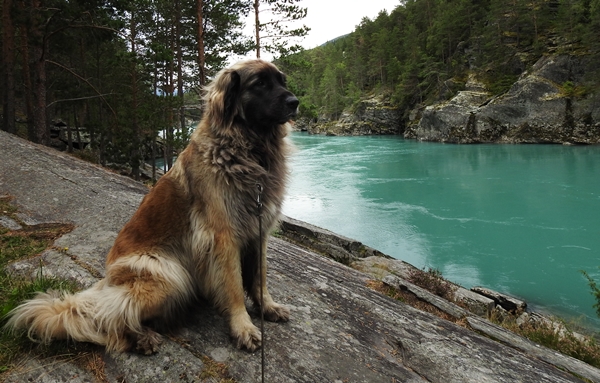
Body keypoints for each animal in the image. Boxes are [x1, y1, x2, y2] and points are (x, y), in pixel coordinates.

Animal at [5, 59, 300, 354]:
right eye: (260, 83)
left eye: (282, 81)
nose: (295, 102)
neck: (248, 150)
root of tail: (107, 280)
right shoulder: (223, 237)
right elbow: (234, 286)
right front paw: (243, 327)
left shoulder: (258, 232)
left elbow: (260, 277)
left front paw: (267, 307)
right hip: (170, 274)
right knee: (112, 315)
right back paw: (140, 338)